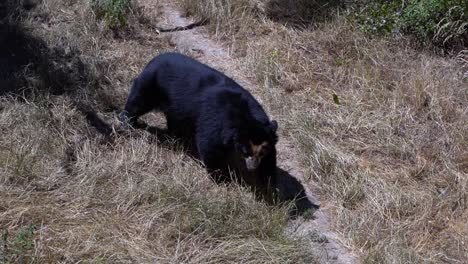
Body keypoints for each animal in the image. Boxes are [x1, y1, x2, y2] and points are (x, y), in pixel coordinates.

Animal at [120, 52, 280, 199]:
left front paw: (269, 184)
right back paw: (129, 123)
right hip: (150, 84)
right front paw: (223, 180)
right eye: (246, 151)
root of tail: (155, 58)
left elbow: (271, 158)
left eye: (262, 152)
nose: (253, 167)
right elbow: (210, 148)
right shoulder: (213, 124)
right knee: (137, 102)